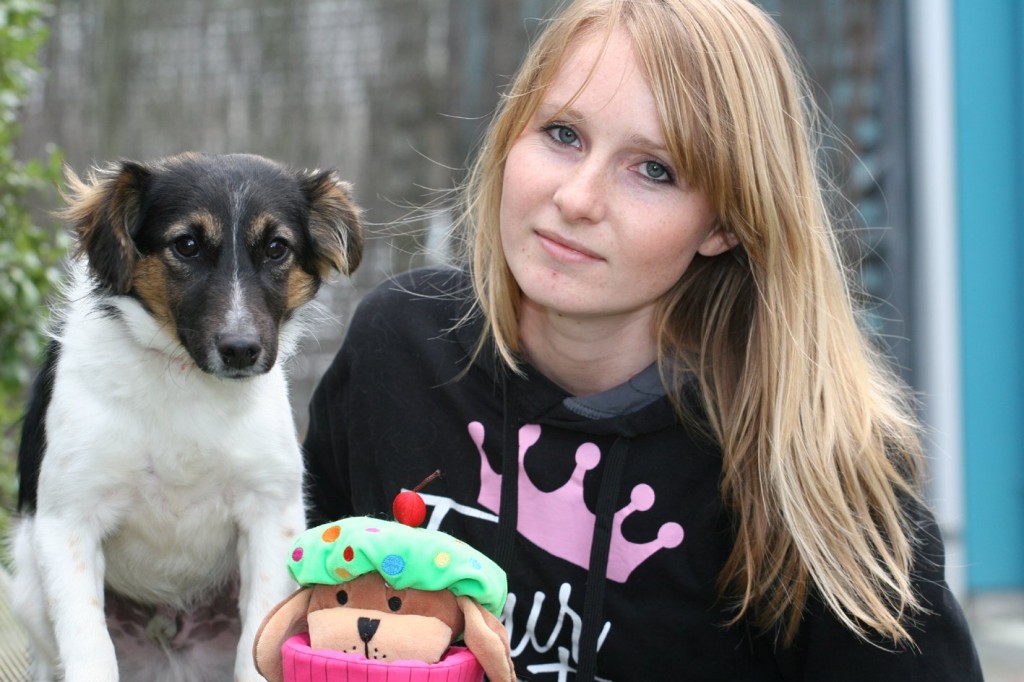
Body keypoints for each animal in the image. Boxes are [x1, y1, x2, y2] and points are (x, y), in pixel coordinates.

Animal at [7, 151, 364, 675]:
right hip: (29, 585)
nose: (241, 350)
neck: (186, 378)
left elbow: (255, 648)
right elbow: (91, 649)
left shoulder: (271, 516)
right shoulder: (67, 522)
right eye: (187, 245)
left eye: (277, 248)